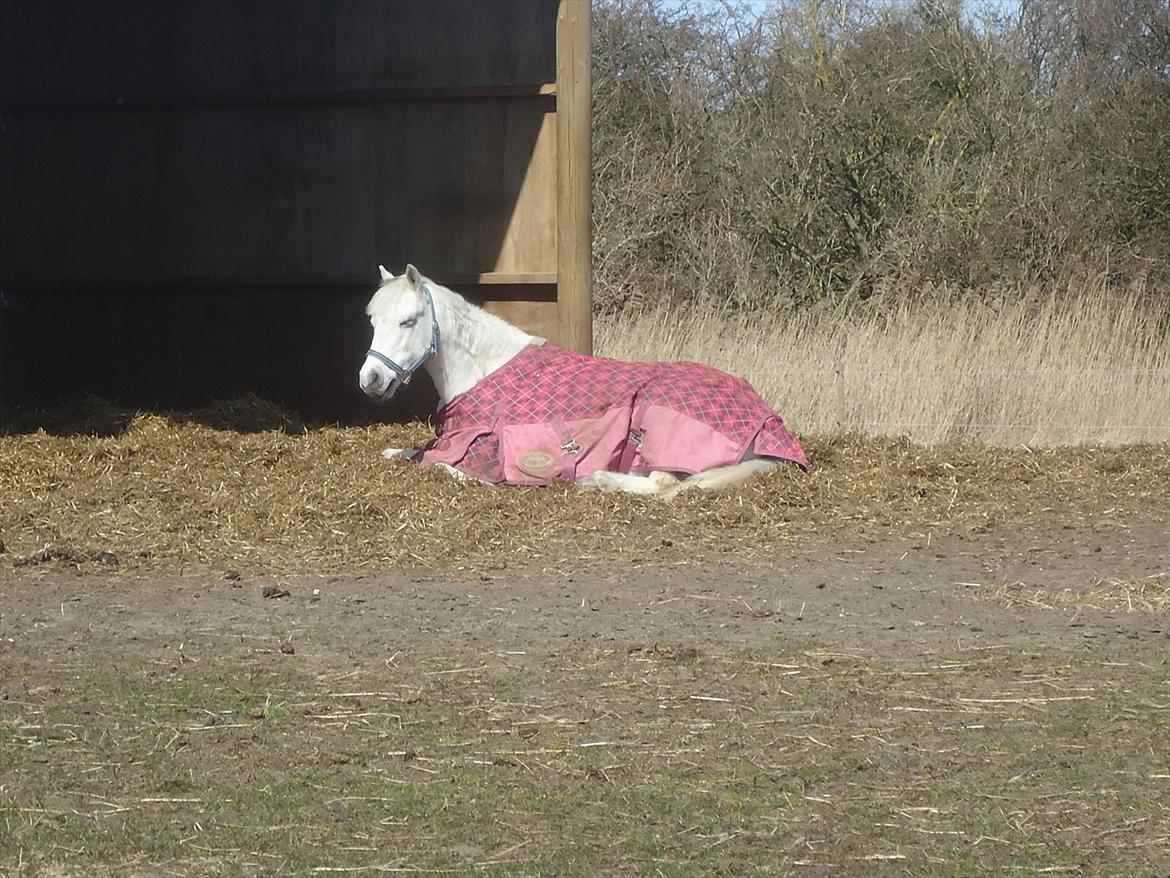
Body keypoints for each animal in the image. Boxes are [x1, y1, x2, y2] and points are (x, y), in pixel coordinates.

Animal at [360, 268, 809, 498]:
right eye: (372, 319)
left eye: (408, 321)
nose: (370, 379)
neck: (486, 369)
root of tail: (767, 419)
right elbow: (399, 453)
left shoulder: (488, 460)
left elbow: (439, 468)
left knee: (663, 482)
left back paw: (598, 480)